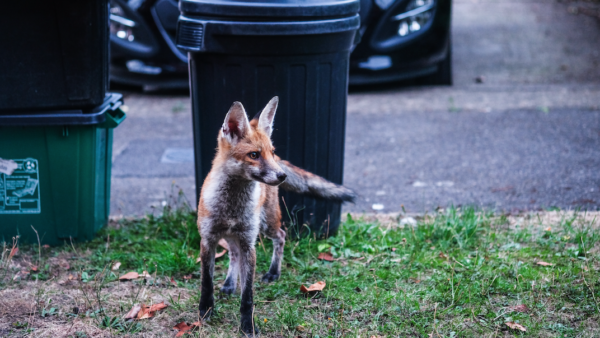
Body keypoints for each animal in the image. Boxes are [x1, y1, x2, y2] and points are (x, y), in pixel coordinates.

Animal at [197, 95, 356, 336]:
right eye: (254, 155)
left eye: (270, 152)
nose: (282, 175)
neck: (232, 207)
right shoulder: (208, 240)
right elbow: (206, 283)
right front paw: (206, 311)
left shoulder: (249, 244)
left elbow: (248, 297)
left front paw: (248, 326)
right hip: (235, 235)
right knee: (233, 254)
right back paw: (229, 284)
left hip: (266, 225)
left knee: (281, 235)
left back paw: (273, 273)